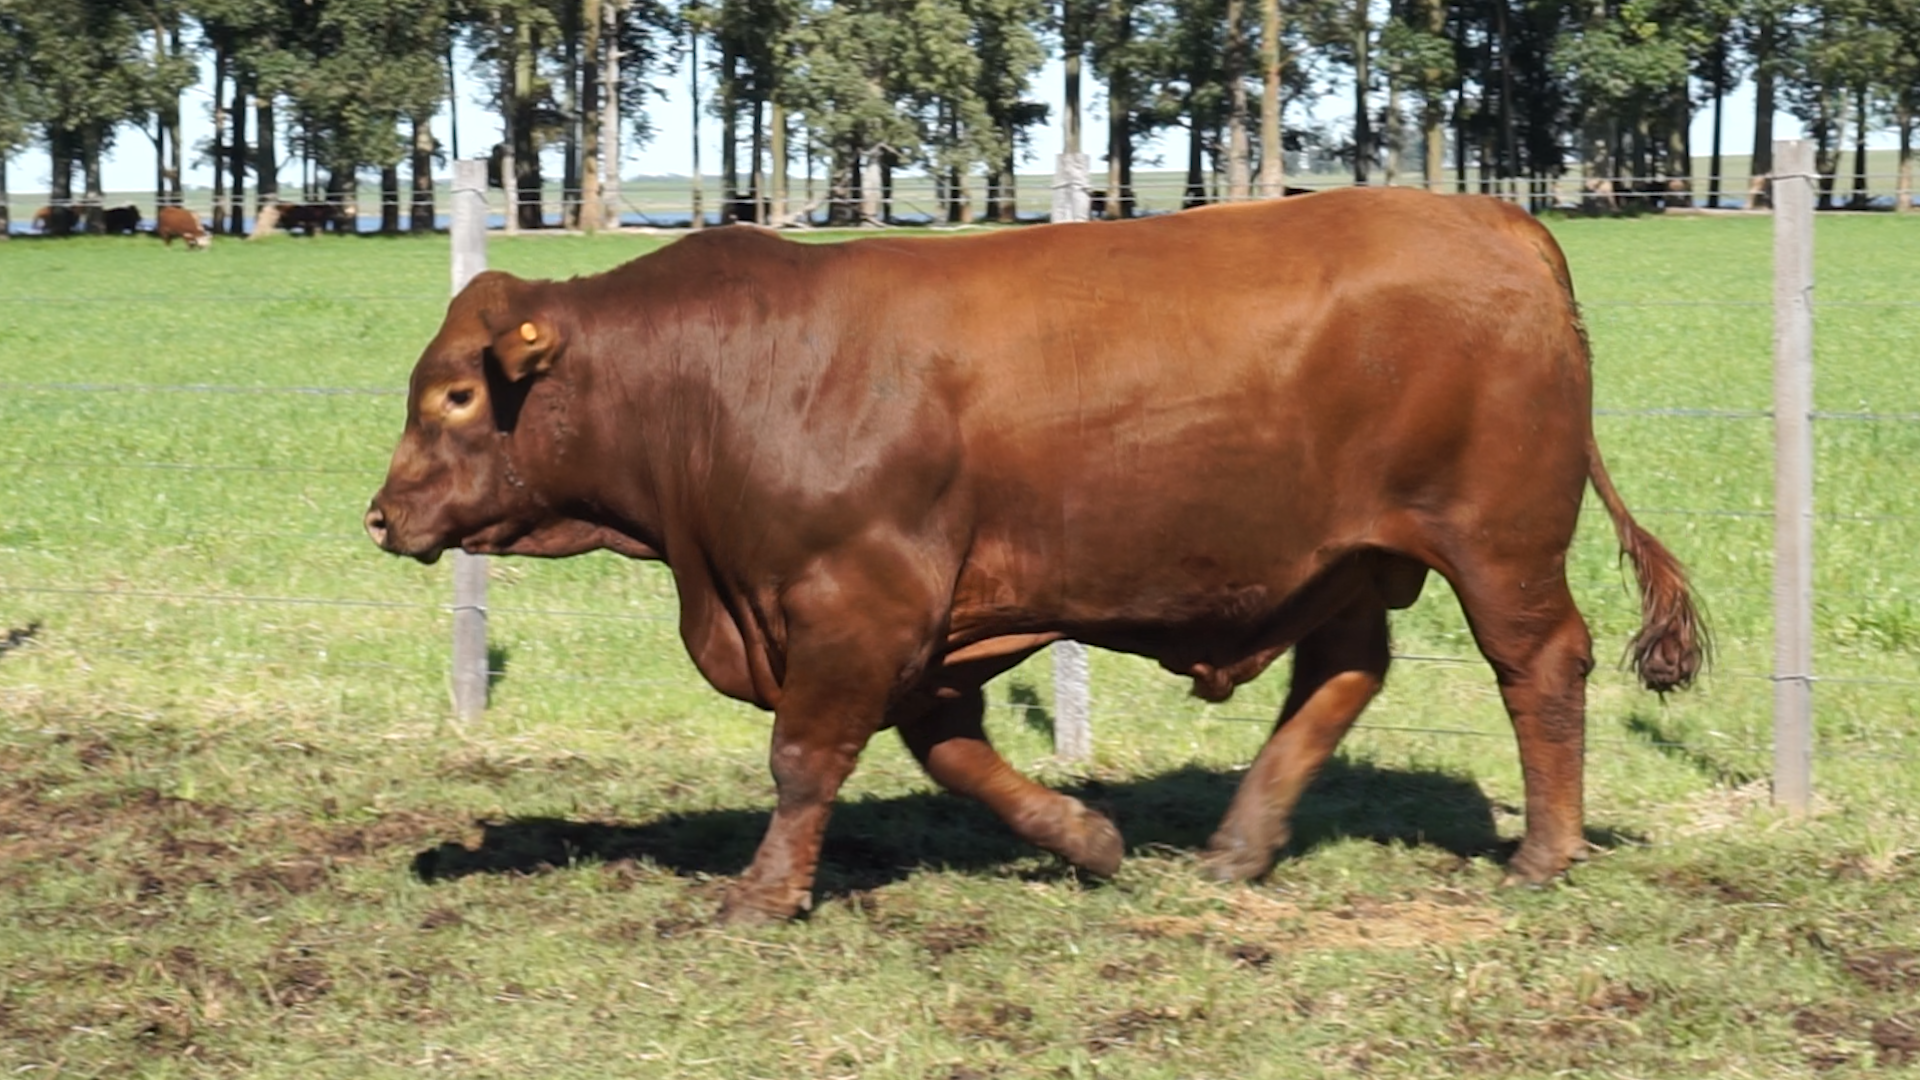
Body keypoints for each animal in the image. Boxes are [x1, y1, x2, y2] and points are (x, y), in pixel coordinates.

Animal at [365, 187, 1705, 924]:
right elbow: (955, 757)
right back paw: (1235, 846)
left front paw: (760, 893)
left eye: (453, 396)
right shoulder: (922, 630)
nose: (380, 517)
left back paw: (1543, 853)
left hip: (1499, 543)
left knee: (1541, 667)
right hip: (1342, 559)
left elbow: (803, 759)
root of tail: (1496, 220)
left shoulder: (861, 603)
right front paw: (1089, 841)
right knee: (1340, 674)